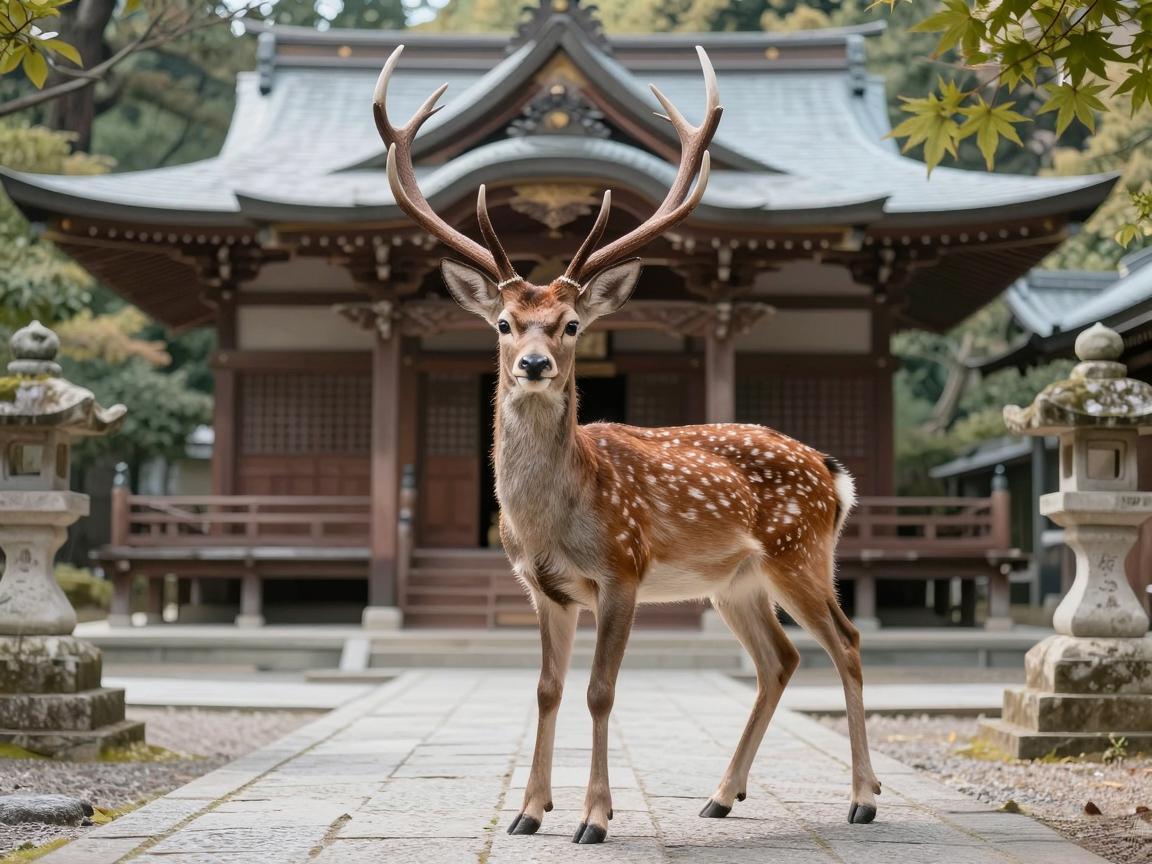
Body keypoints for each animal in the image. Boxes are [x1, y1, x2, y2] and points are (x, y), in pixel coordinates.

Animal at [373, 44, 881, 845]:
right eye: (503, 324)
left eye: (573, 324)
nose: (534, 364)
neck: (549, 523)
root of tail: (832, 473)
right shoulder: (544, 588)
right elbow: (547, 689)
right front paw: (528, 812)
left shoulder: (623, 570)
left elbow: (601, 690)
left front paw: (594, 817)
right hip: (735, 580)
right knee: (780, 659)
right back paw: (721, 795)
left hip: (800, 552)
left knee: (848, 641)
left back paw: (863, 796)